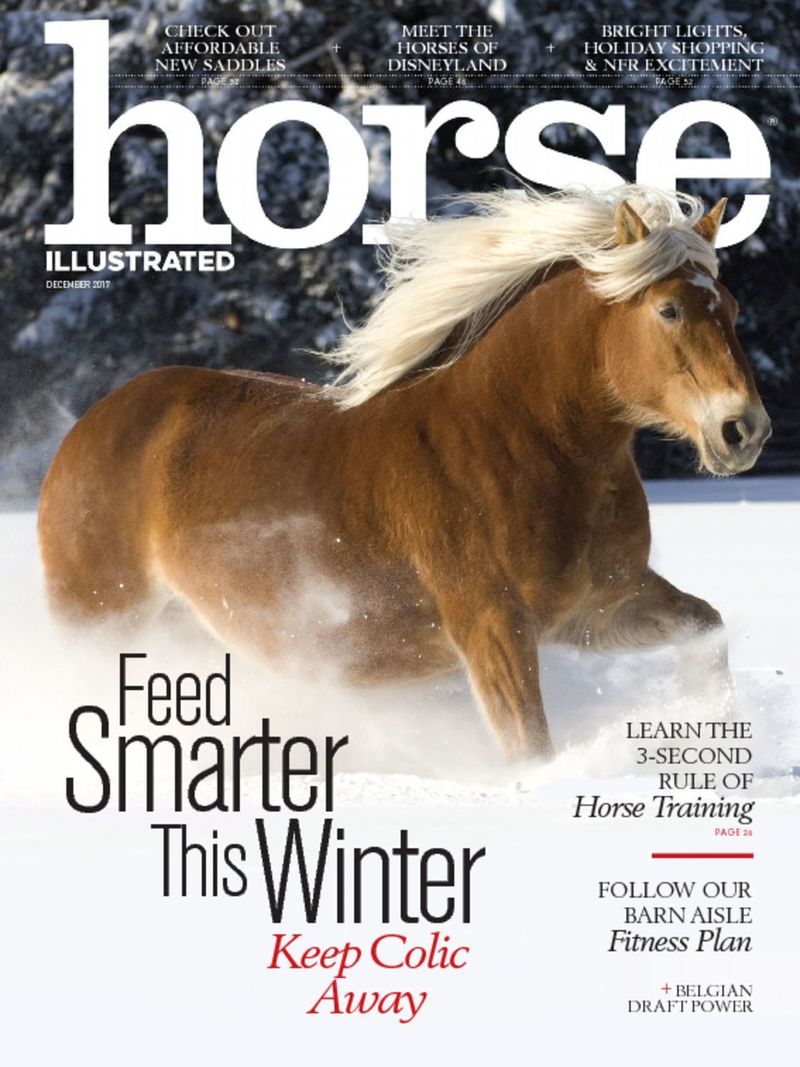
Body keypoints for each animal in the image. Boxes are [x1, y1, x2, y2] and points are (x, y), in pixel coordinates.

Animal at [38, 185, 771, 760]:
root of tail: (87, 427)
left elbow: (707, 630)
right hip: (101, 621)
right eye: (669, 309)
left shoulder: (596, 611)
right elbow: (529, 748)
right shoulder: (493, 629)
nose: (745, 429)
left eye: (733, 310)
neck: (523, 440)